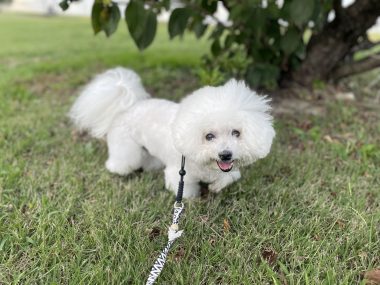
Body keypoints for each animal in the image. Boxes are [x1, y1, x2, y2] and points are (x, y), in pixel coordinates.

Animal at [70, 67, 274, 196]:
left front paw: (216, 187)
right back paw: (117, 169)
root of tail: (127, 107)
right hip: (126, 148)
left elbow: (230, 177)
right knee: (123, 161)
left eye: (236, 133)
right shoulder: (180, 174)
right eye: (209, 136)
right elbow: (185, 193)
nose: (225, 154)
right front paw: (191, 201)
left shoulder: (228, 170)